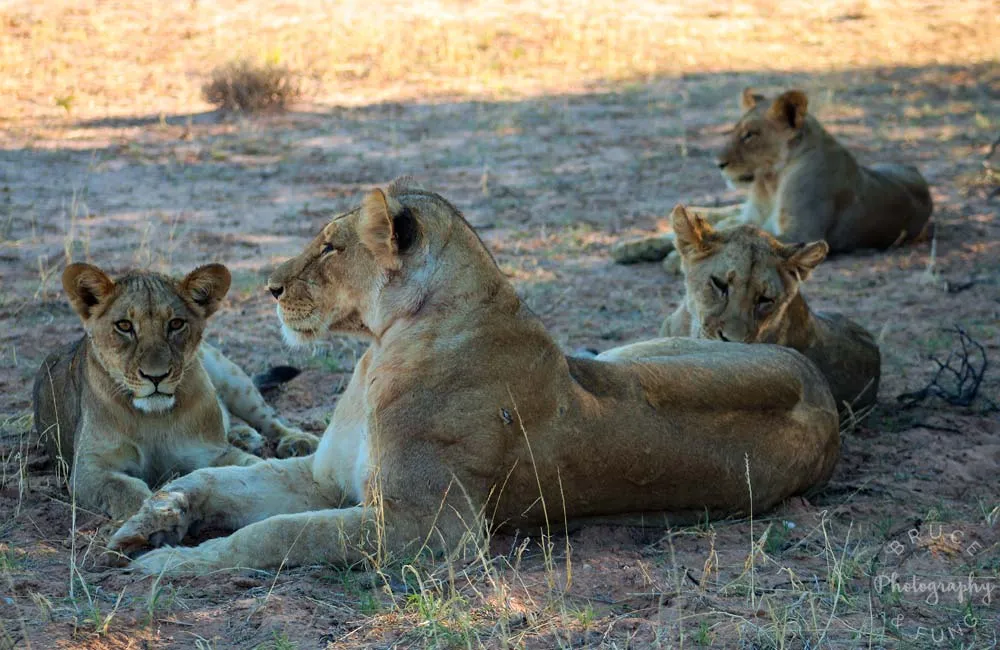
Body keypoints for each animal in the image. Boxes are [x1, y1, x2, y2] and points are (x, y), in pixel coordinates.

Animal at [32, 263, 319, 520]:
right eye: (124, 326)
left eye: (176, 324)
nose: (156, 376)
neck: (153, 418)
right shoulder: (90, 467)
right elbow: (125, 490)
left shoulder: (211, 452)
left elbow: (252, 467)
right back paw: (244, 435)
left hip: (232, 378)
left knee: (269, 418)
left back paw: (295, 440)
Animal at [108, 179, 839, 575]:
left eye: (331, 247)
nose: (270, 288)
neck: (382, 345)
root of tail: (826, 398)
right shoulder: (324, 478)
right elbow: (214, 482)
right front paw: (151, 521)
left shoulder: (427, 528)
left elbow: (277, 533)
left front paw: (175, 562)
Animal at [612, 87, 933, 270]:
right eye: (734, 131)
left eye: (750, 135)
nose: (719, 164)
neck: (771, 181)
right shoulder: (753, 216)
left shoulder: (803, 233)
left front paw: (676, 258)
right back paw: (626, 247)